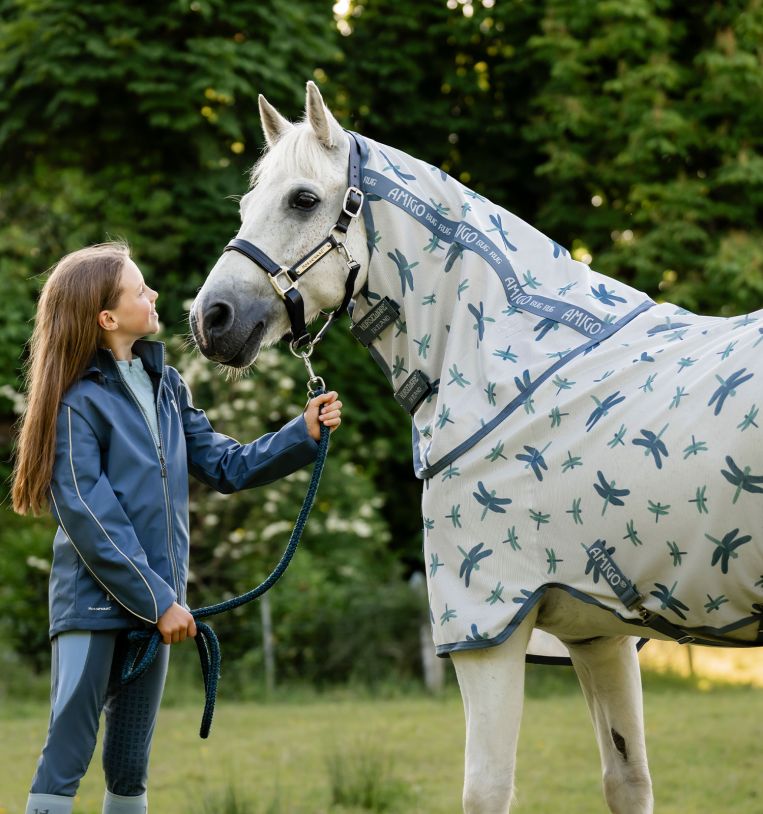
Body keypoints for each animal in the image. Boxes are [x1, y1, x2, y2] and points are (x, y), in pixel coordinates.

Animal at [190, 81, 762, 814]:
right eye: (247, 204)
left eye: (303, 200)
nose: (210, 319)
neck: (509, 368)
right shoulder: (597, 634)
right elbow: (626, 781)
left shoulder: (486, 634)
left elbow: (486, 789)